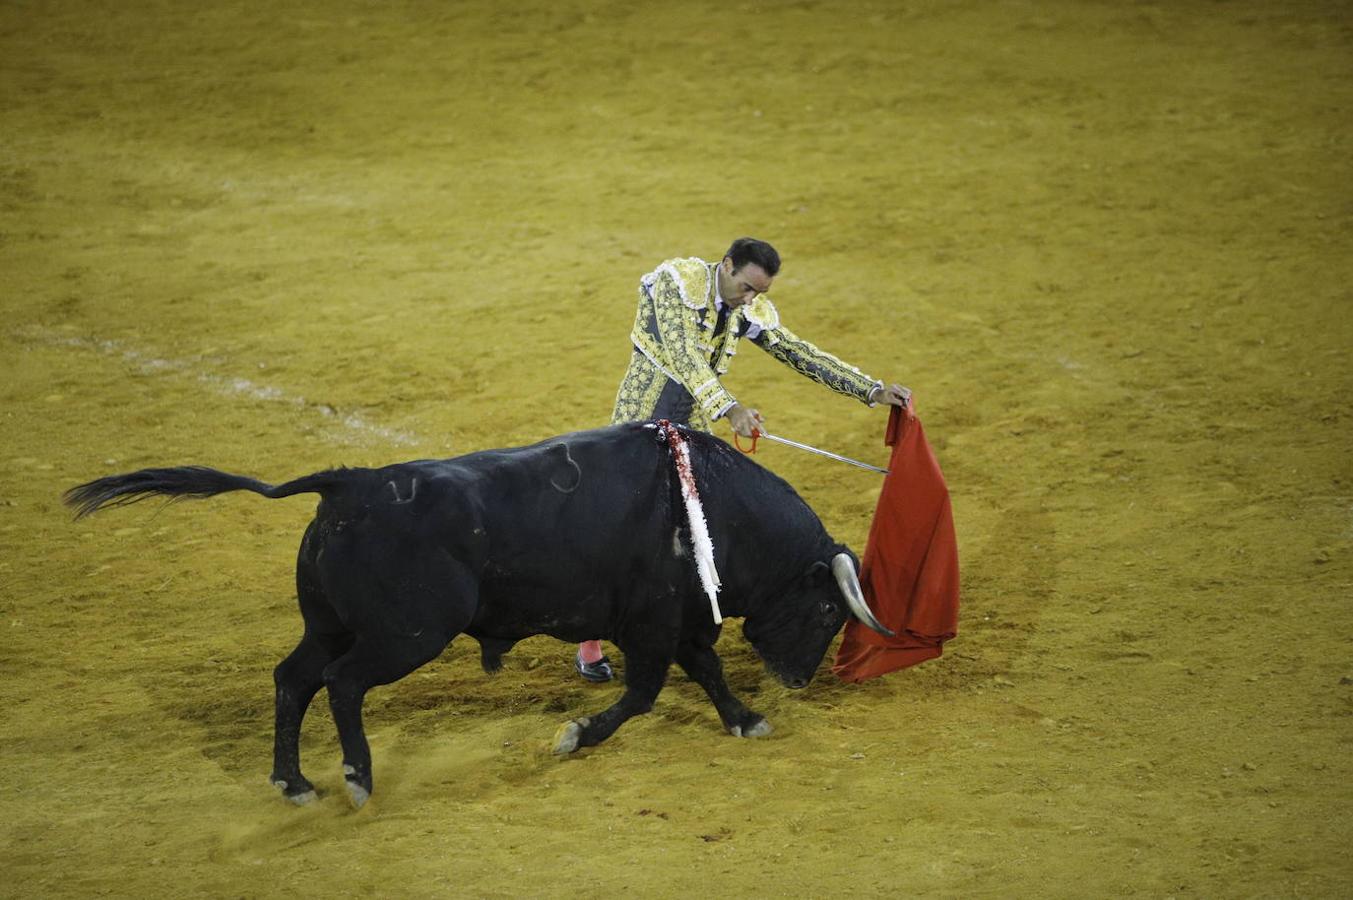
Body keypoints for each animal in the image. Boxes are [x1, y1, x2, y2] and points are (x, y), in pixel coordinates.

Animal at [63, 422, 892, 806]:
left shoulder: (677, 622)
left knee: (294, 678)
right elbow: (645, 692)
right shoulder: (653, 626)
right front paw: (573, 737)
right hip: (406, 635)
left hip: (329, 622)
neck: (710, 507)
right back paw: (358, 777)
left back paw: (294, 782)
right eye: (829, 606)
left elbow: (707, 672)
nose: (798, 680)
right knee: (341, 683)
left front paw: (745, 719)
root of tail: (348, 483)